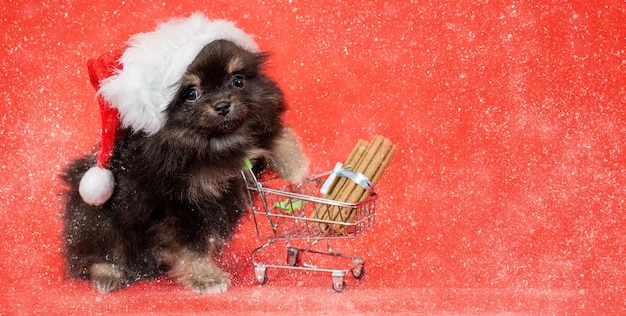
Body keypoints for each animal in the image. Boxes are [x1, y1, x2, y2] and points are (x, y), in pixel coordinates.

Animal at [62, 39, 308, 294]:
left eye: (238, 81)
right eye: (192, 93)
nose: (222, 105)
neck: (212, 145)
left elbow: (271, 136)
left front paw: (294, 164)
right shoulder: (181, 206)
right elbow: (192, 247)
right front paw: (206, 277)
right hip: (97, 217)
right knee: (99, 252)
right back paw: (107, 275)